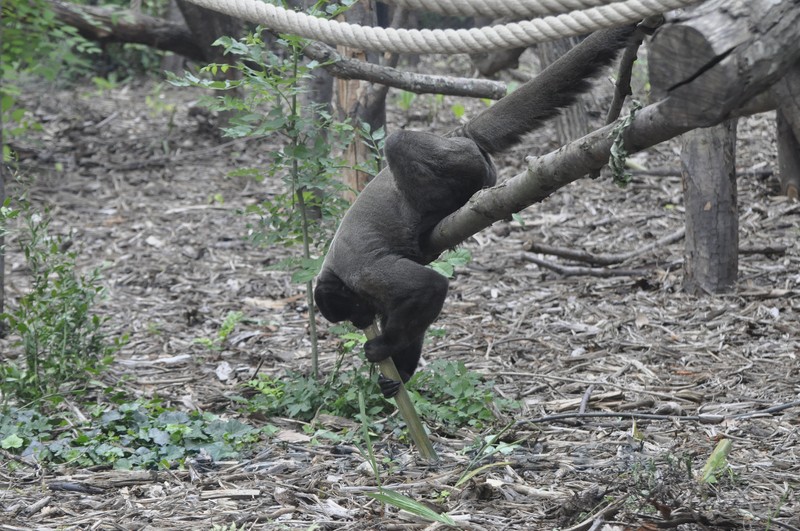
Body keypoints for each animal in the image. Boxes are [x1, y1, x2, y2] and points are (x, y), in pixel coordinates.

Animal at [314, 25, 639, 398]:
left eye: (352, 310)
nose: (360, 322)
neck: (336, 272)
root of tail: (455, 135)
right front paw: (396, 374)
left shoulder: (363, 272)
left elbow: (429, 286)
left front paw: (383, 347)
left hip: (456, 158)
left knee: (398, 144)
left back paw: (439, 211)